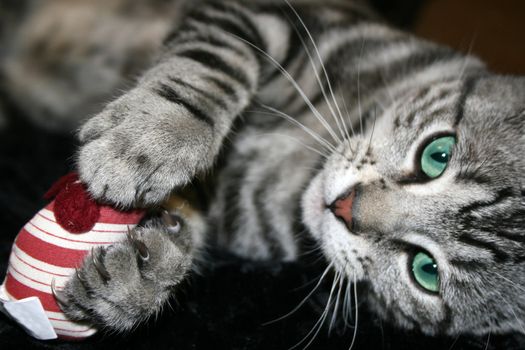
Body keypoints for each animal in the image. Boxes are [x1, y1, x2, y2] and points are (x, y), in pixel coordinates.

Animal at [1, 0, 524, 340]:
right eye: (438, 154)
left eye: (425, 271)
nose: (345, 207)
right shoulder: (277, 18)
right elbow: (217, 62)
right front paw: (152, 136)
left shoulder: (240, 202)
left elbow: (187, 220)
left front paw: (141, 279)